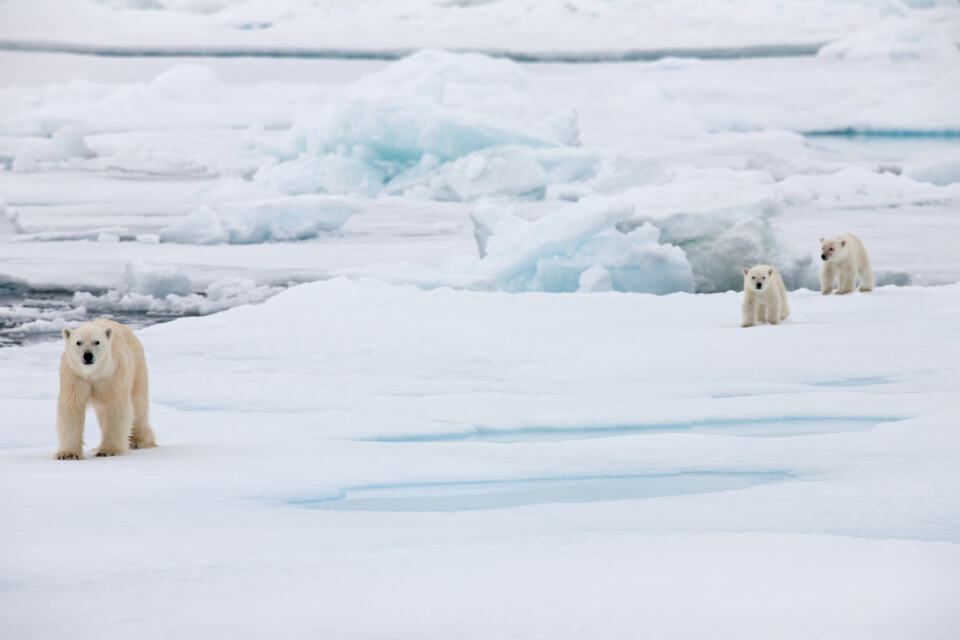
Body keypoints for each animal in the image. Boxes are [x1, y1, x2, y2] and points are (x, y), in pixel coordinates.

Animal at [55, 320, 156, 460]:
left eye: (97, 342)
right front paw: (67, 454)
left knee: (138, 408)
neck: (93, 373)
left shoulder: (112, 375)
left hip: (137, 367)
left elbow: (115, 407)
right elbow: (72, 407)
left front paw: (108, 451)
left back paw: (138, 441)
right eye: (78, 342)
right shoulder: (75, 376)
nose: (88, 355)